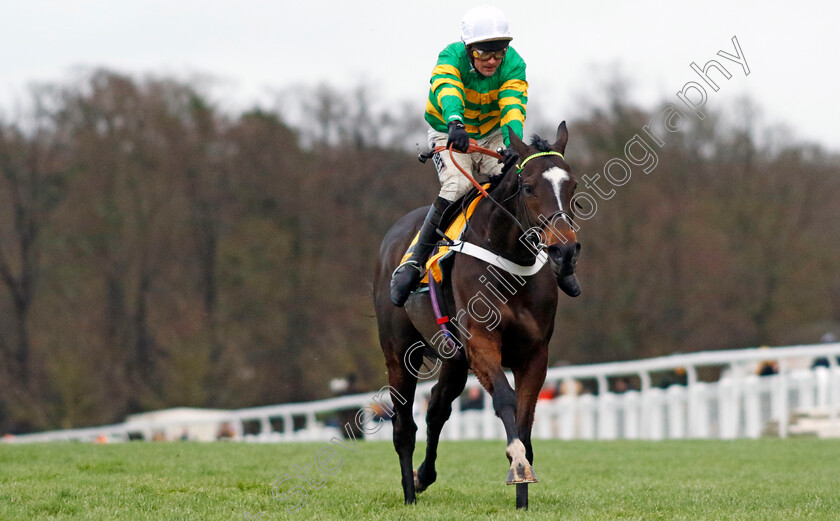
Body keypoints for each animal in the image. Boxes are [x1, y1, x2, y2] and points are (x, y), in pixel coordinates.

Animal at [370, 121, 580, 508]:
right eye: (529, 187)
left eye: (571, 185)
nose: (565, 250)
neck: (509, 260)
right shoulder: (481, 342)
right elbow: (505, 399)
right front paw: (518, 465)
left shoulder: (535, 352)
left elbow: (526, 414)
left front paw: (523, 499)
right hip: (398, 352)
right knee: (404, 426)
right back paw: (409, 493)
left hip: (453, 358)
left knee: (437, 407)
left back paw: (424, 476)